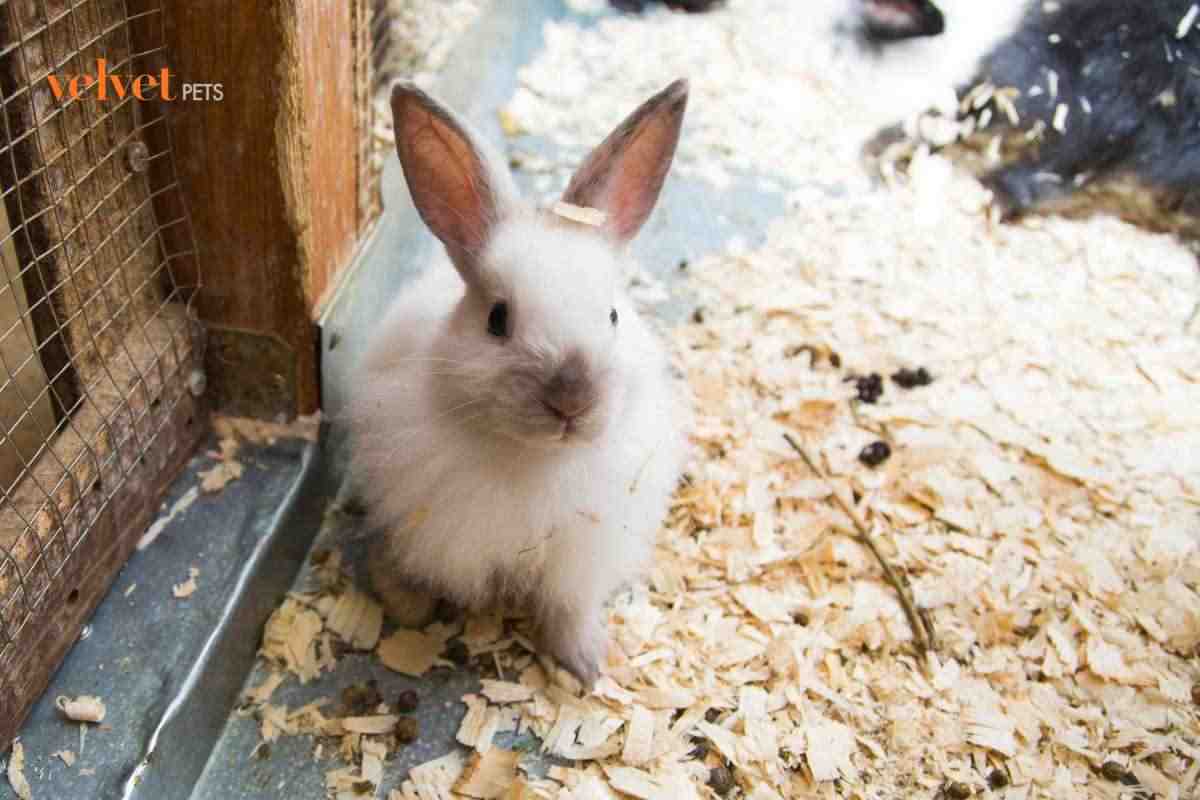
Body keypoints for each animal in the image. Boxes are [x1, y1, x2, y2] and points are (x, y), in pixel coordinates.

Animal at [343, 81, 691, 686]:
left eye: (612, 316)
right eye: (497, 319)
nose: (572, 400)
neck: (536, 462)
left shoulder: (580, 558)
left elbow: (569, 610)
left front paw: (585, 666)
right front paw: (407, 609)